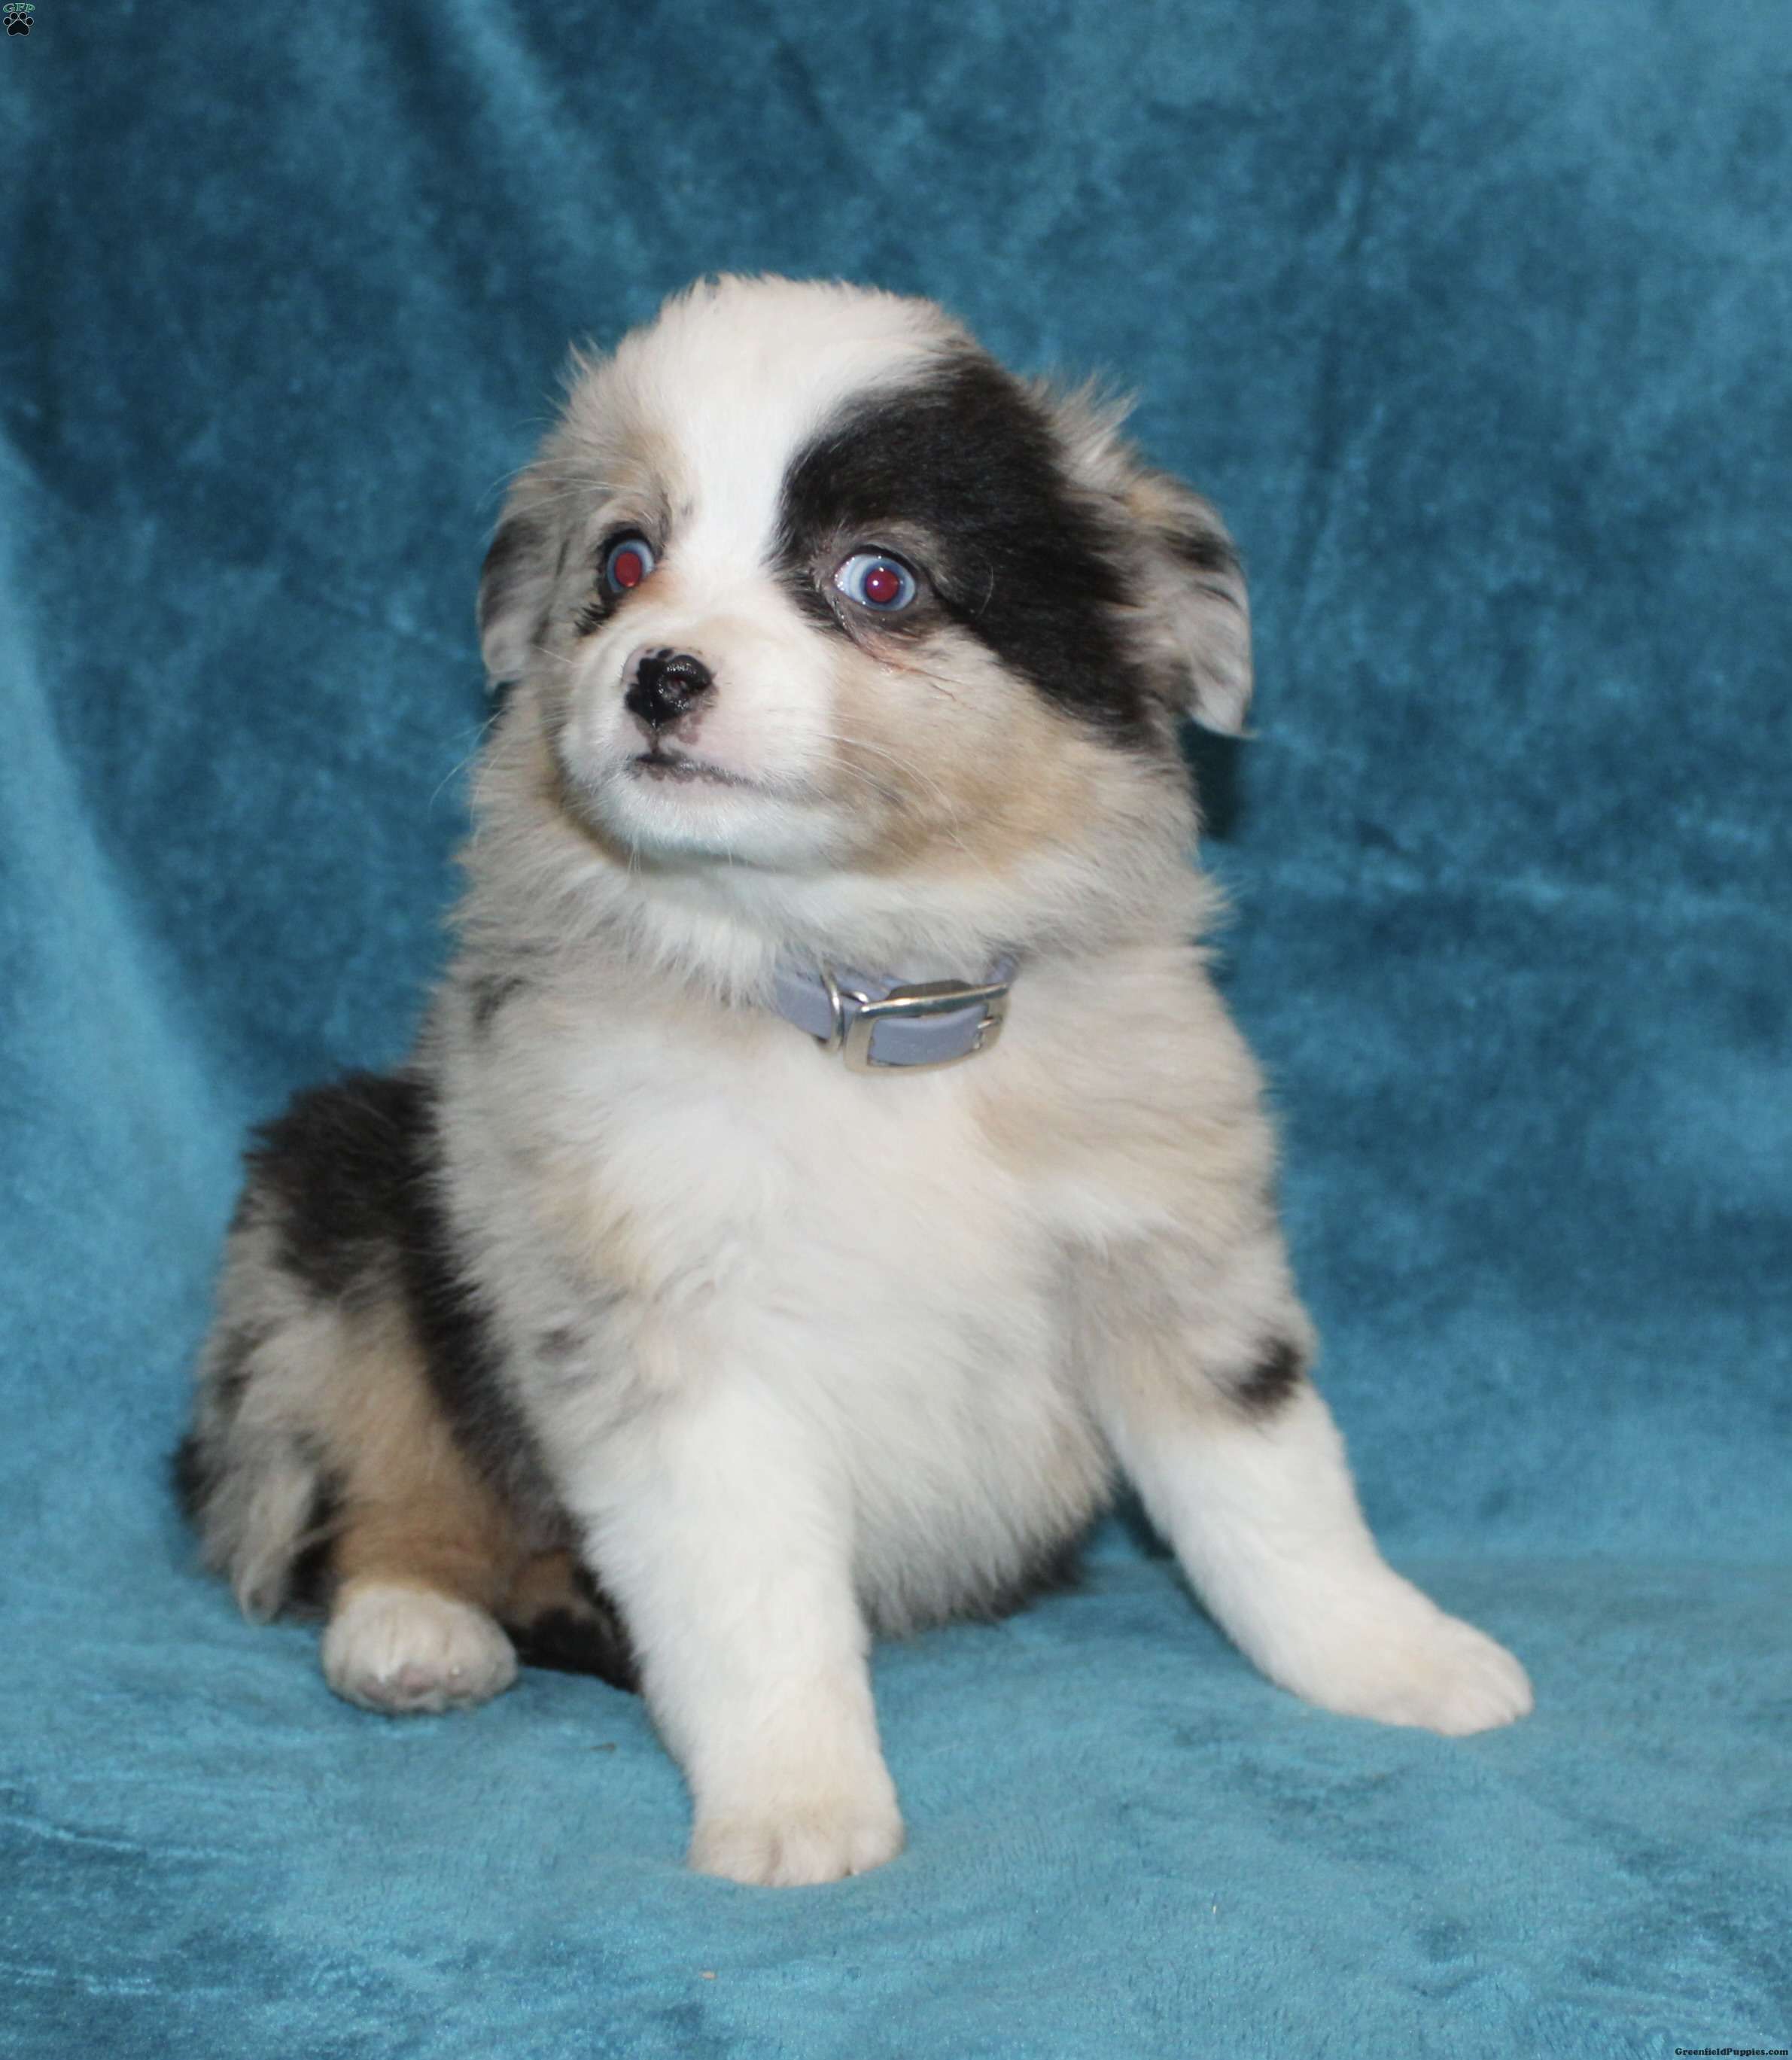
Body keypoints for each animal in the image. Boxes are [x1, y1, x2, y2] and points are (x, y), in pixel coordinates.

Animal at [175, 275, 1531, 1887]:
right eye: (624, 562)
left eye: (879, 580)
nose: (659, 672)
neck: (867, 999)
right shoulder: (664, 1325)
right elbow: (752, 1598)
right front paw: (796, 1806)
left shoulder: (1174, 1253)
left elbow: (1275, 1497)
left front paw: (1402, 1661)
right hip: (342, 1197)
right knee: (373, 1484)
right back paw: (412, 1629)